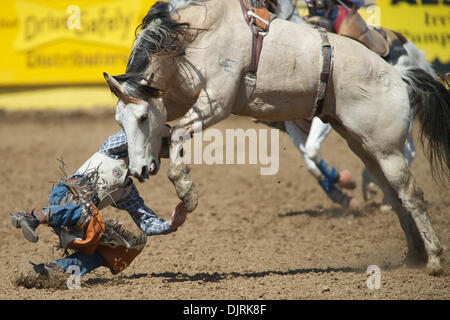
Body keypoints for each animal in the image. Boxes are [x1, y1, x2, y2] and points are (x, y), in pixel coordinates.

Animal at [103, 0, 448, 270]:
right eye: (120, 121)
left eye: (143, 117)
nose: (139, 169)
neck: (195, 34)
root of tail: (400, 76)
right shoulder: (178, 96)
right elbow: (171, 130)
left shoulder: (216, 104)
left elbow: (177, 134)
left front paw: (187, 193)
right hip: (365, 147)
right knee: (394, 196)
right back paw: (412, 256)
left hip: (388, 151)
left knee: (412, 194)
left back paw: (433, 259)